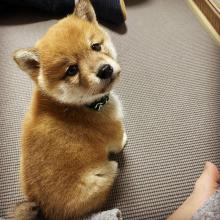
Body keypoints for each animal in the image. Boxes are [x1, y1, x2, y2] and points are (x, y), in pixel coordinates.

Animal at [13, 0, 127, 219]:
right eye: (72, 70)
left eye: (96, 46)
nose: (105, 70)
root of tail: (42, 207)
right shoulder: (114, 132)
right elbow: (120, 141)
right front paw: (125, 139)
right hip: (106, 171)